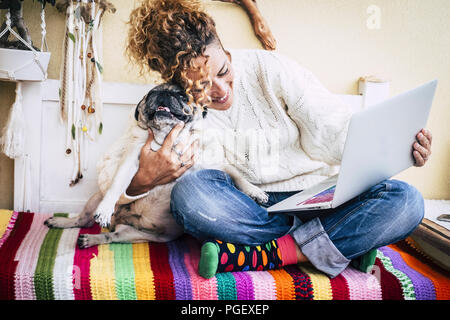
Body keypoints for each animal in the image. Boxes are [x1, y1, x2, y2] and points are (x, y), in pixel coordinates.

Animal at [45, 82, 268, 248]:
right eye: (151, 93)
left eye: (182, 95)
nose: (163, 94)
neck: (169, 138)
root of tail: (124, 220)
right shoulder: (132, 161)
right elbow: (117, 185)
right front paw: (105, 209)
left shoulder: (215, 163)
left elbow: (236, 173)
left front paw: (255, 191)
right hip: (96, 197)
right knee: (83, 219)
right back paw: (62, 222)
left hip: (135, 234)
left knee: (111, 236)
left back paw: (92, 238)